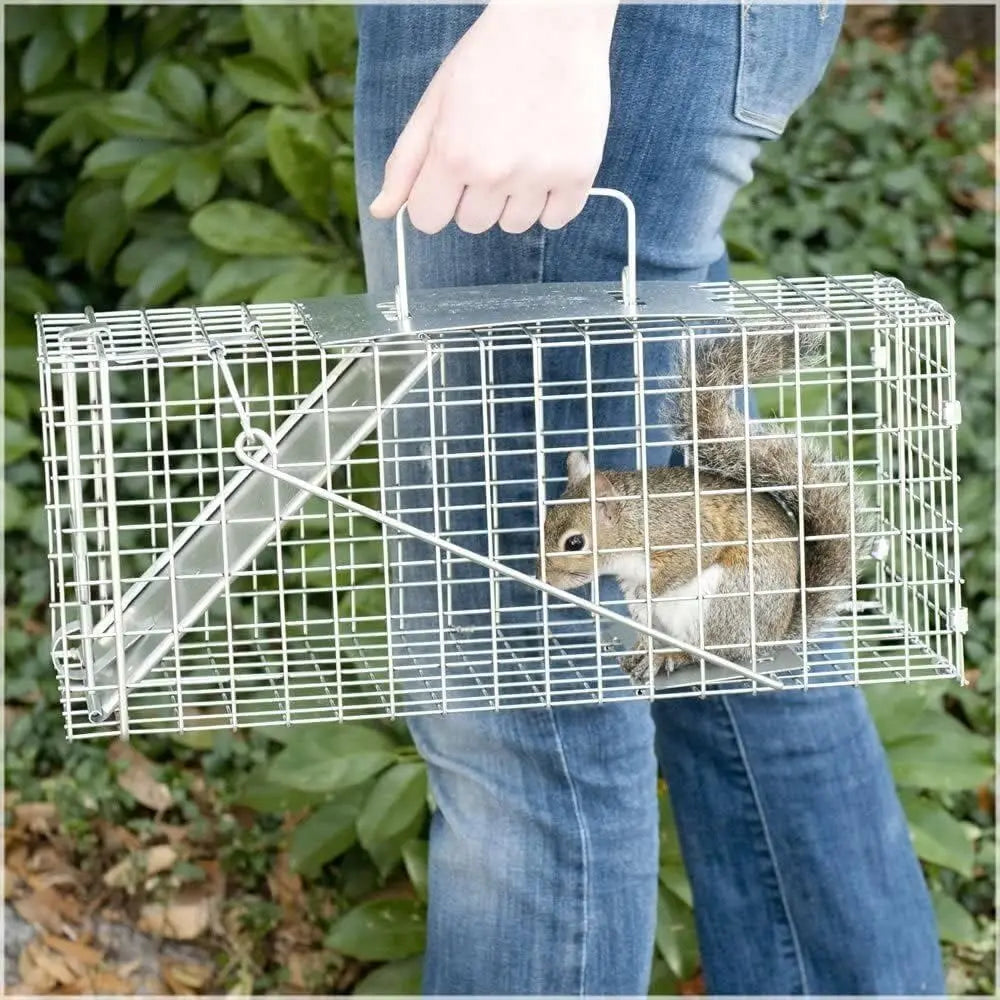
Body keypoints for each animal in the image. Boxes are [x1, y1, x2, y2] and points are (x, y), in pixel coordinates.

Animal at [538, 327, 871, 685]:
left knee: (709, 653)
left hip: (723, 602)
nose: (542, 578)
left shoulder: (682, 531)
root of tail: (770, 637)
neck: (635, 522)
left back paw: (673, 655)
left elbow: (693, 557)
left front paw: (649, 589)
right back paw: (648, 651)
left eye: (575, 542)